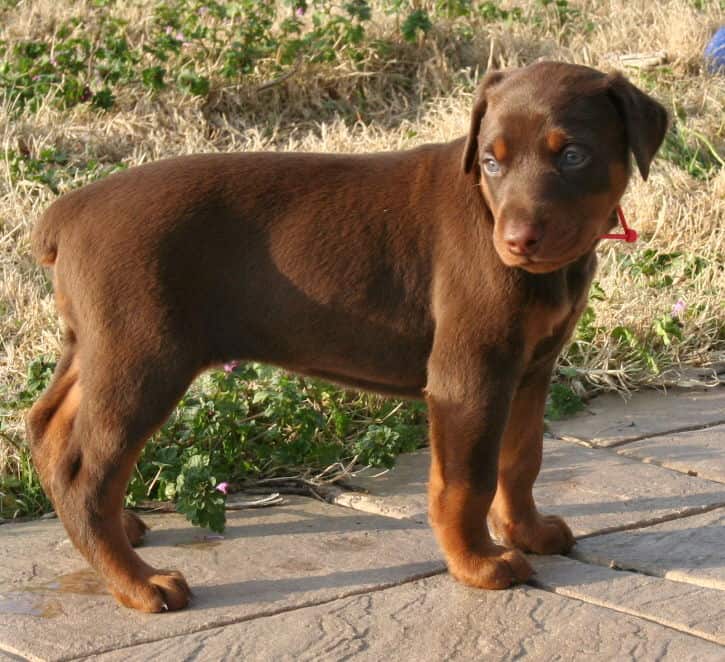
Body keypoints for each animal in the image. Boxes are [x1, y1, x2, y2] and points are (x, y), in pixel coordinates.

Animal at [25, 61, 664, 612]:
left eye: (573, 154)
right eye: (490, 161)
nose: (516, 242)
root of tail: (68, 212)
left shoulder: (531, 368)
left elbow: (522, 458)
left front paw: (526, 531)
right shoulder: (471, 377)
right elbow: (467, 481)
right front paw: (477, 563)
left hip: (96, 347)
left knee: (49, 428)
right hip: (141, 358)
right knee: (86, 474)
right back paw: (138, 584)